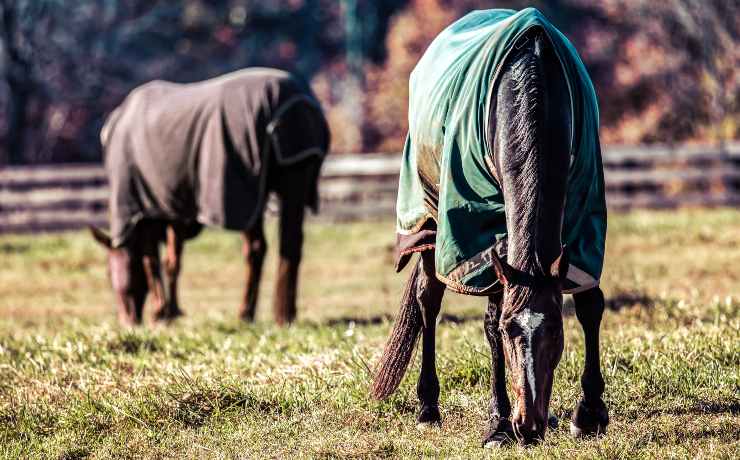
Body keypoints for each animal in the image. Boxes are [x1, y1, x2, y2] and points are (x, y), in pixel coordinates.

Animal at [90, 68, 330, 327]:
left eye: (107, 273)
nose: (127, 321)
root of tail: (294, 103)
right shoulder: (173, 211)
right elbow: (172, 261)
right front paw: (171, 310)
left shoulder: (146, 211)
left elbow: (153, 262)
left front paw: (162, 312)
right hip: (295, 178)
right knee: (290, 243)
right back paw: (283, 314)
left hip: (247, 193)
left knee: (256, 249)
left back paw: (248, 312)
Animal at [371, 9, 608, 446]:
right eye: (511, 330)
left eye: (555, 331)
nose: (528, 425)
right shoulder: (479, 232)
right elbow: (489, 320)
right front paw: (498, 423)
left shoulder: (584, 216)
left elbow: (590, 306)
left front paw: (590, 414)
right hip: (428, 220)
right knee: (427, 299)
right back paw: (428, 407)